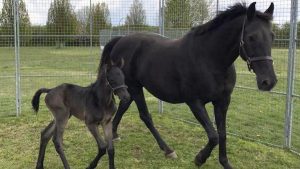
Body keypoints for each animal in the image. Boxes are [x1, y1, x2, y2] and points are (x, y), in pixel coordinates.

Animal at [100, 1, 276, 168]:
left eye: (272, 36)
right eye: (251, 37)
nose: (268, 82)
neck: (209, 59)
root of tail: (121, 40)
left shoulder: (223, 101)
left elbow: (222, 133)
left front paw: (225, 163)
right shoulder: (195, 102)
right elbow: (214, 136)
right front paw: (199, 159)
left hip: (129, 89)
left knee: (124, 105)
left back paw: (114, 135)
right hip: (135, 87)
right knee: (145, 116)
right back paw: (168, 150)